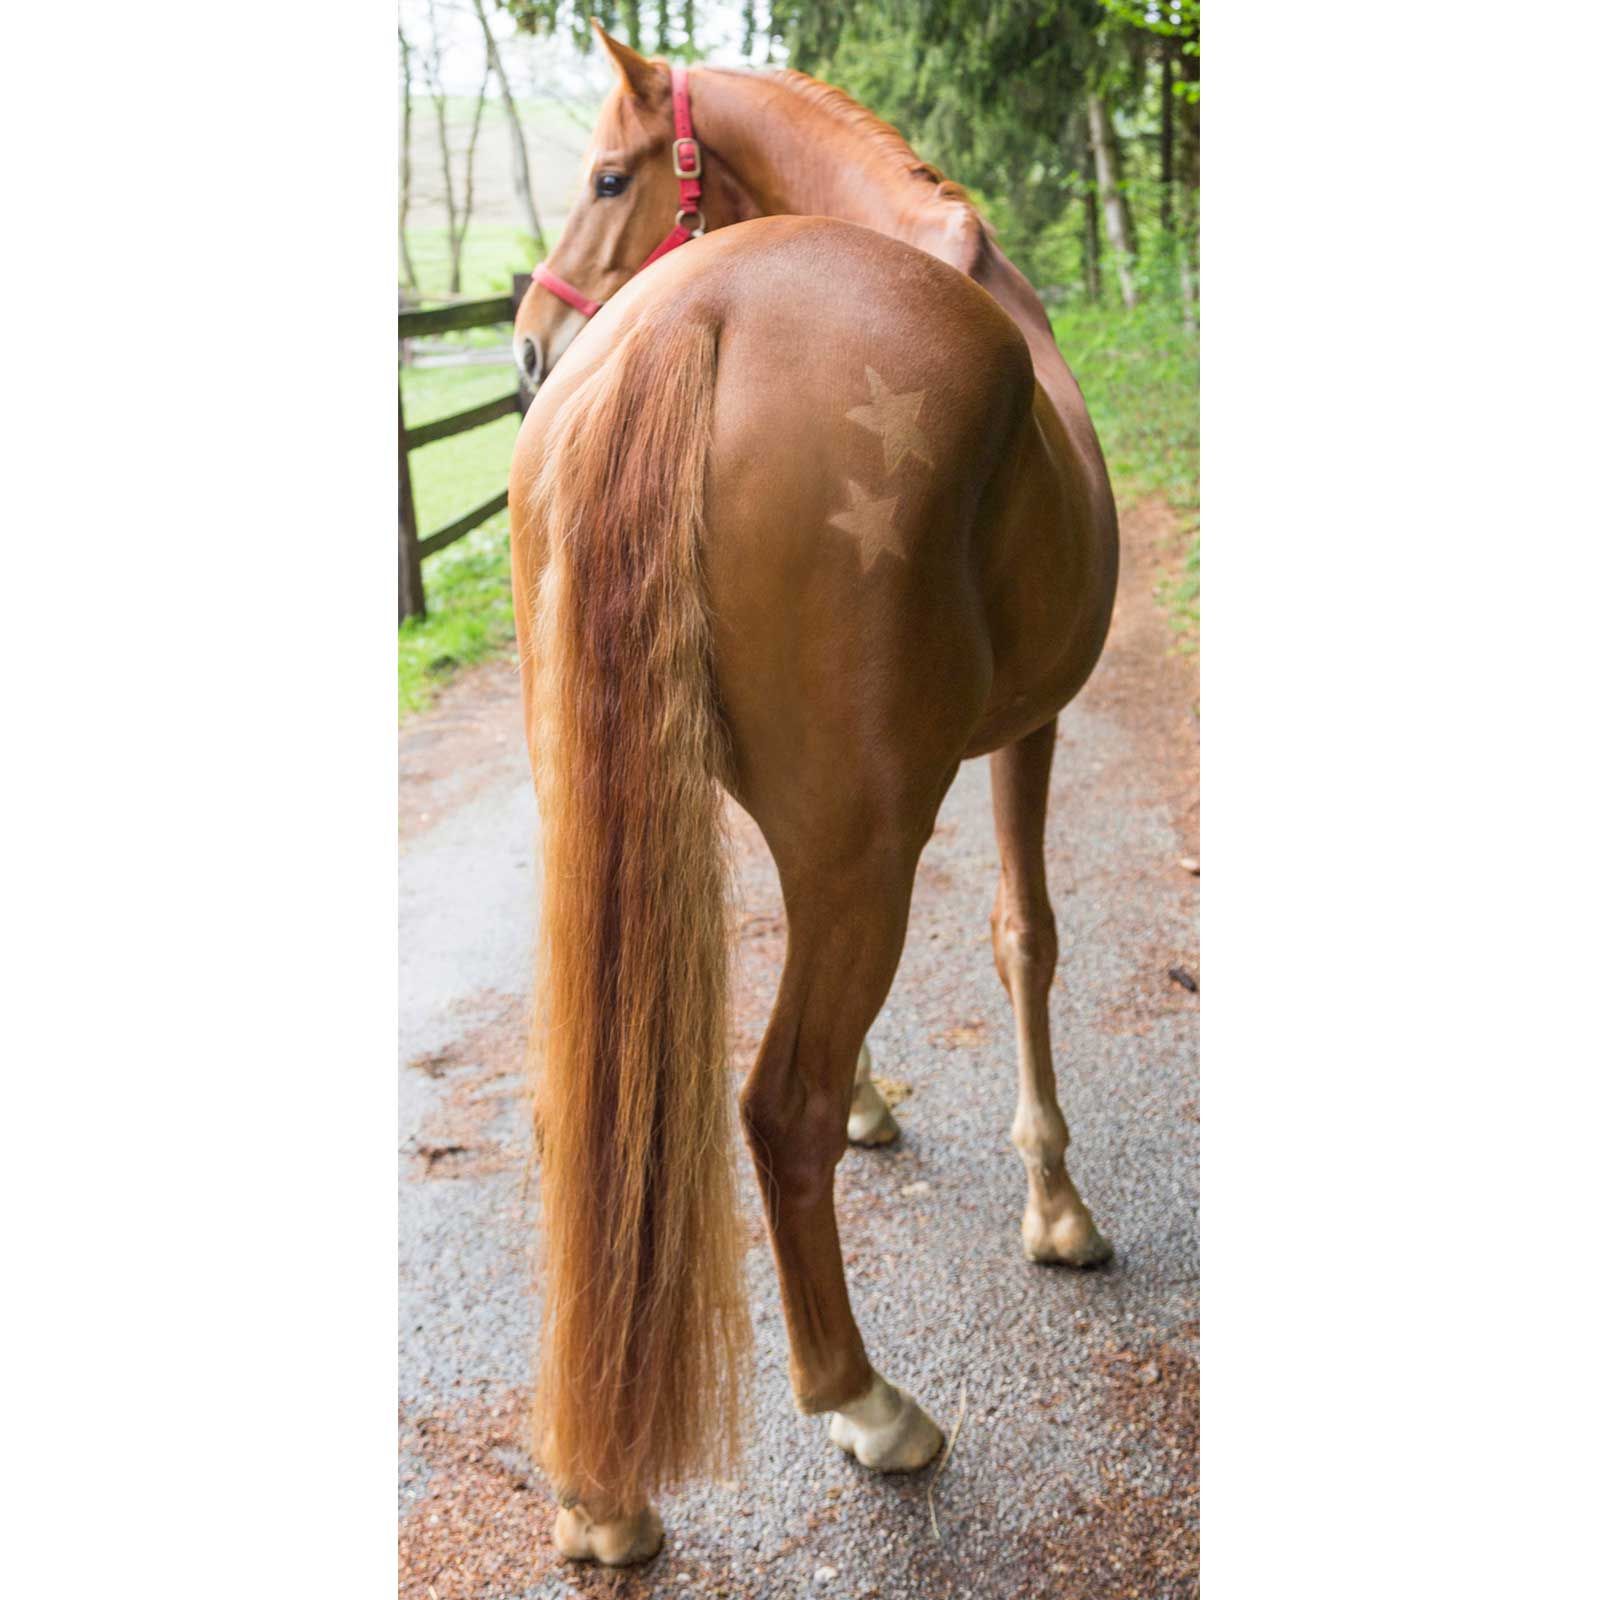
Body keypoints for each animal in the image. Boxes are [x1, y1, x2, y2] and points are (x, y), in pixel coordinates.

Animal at [506, 27, 1119, 1568]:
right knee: (773, 1106)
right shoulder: (1027, 730)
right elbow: (1027, 937)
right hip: (868, 845)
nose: (526, 351)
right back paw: (869, 1405)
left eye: (609, 176)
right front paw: (1058, 1208)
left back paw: (599, 1496)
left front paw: (876, 1104)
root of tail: (690, 315)